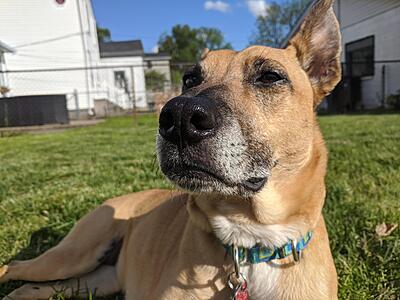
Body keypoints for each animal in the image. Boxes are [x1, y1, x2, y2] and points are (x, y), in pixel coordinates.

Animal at [1, 1, 342, 298]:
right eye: (189, 78)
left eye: (269, 77)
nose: (178, 118)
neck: (251, 243)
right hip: (72, 254)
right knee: (12, 266)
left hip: (97, 280)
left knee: (32, 287)